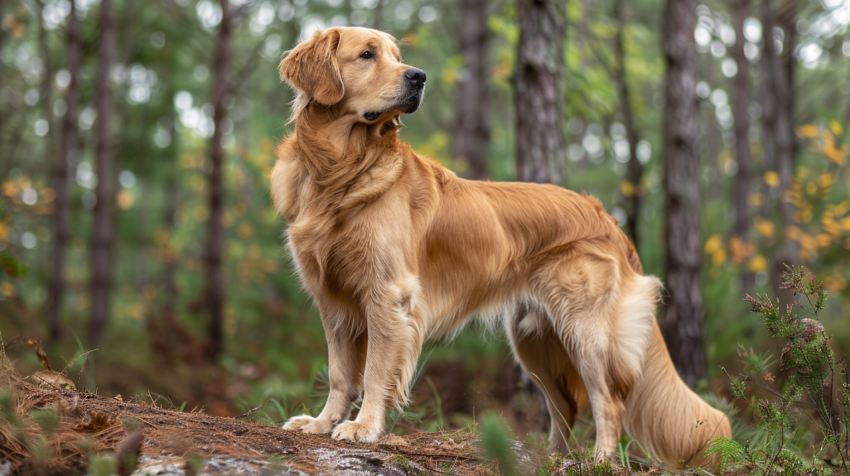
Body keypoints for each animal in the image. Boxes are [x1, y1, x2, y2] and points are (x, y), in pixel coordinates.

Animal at [272, 27, 728, 468]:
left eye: (396, 56)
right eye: (367, 54)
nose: (418, 77)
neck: (341, 171)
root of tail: (606, 217)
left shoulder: (388, 295)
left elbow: (373, 373)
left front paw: (363, 428)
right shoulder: (333, 301)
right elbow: (339, 373)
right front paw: (320, 423)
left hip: (586, 333)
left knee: (609, 403)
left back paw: (600, 460)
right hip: (536, 342)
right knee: (565, 405)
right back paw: (553, 457)